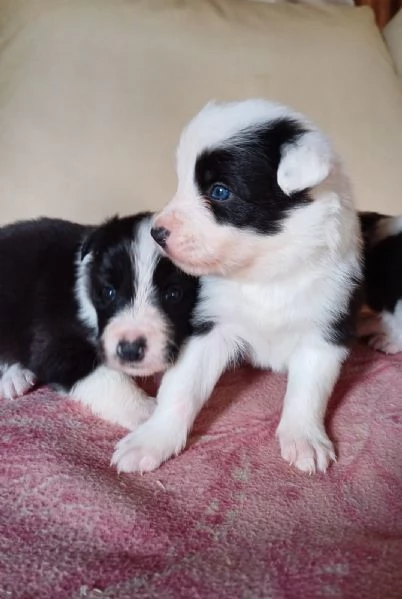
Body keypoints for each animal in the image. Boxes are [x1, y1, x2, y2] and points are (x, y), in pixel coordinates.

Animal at [0, 213, 201, 428]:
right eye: (109, 292)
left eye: (174, 294)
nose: (130, 350)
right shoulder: (53, 340)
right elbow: (104, 375)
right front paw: (145, 411)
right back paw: (14, 377)